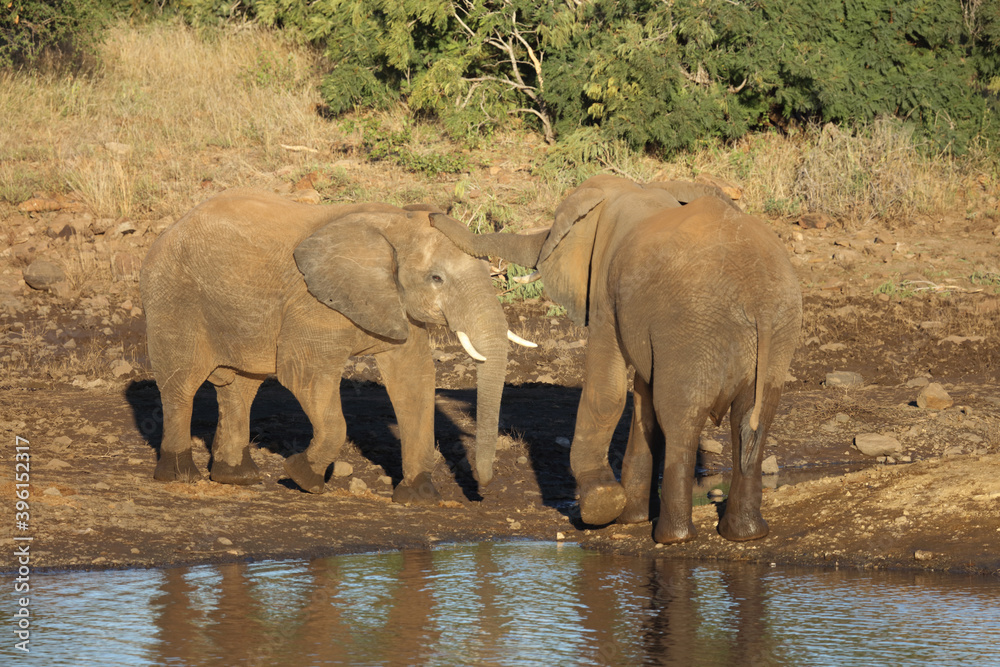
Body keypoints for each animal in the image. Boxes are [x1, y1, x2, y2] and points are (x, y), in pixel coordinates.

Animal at [140, 189, 535, 504]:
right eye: (436, 278)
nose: (482, 489)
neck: (395, 225)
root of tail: (169, 229)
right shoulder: (313, 302)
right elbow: (304, 375)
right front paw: (302, 478)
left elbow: (414, 380)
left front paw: (419, 496)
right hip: (173, 295)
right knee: (181, 384)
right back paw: (181, 475)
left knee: (241, 387)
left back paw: (238, 478)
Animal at [431, 175, 802, 542]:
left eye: (555, 225)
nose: (433, 215)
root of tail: (757, 295)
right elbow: (641, 400)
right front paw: (630, 517)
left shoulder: (607, 294)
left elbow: (608, 389)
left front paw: (601, 506)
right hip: (777, 329)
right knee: (752, 418)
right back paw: (746, 533)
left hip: (695, 325)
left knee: (682, 417)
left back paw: (673, 537)